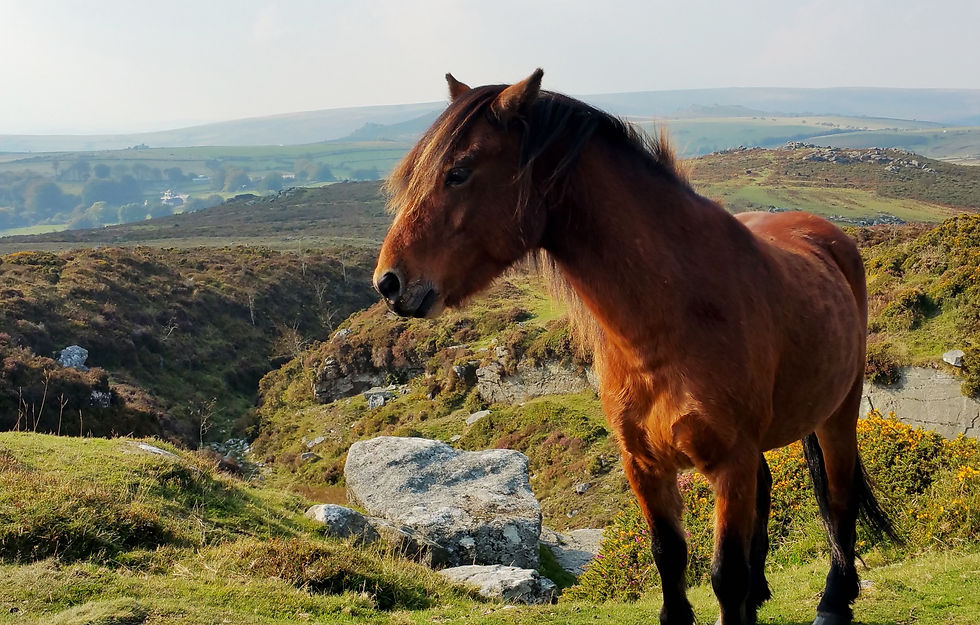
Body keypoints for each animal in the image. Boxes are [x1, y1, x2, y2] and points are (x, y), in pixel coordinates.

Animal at [373, 69, 896, 625]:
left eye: (459, 172)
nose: (388, 282)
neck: (671, 320)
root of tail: (827, 236)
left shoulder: (729, 462)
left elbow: (725, 574)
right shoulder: (643, 464)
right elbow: (669, 557)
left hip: (837, 414)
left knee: (839, 500)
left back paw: (834, 600)